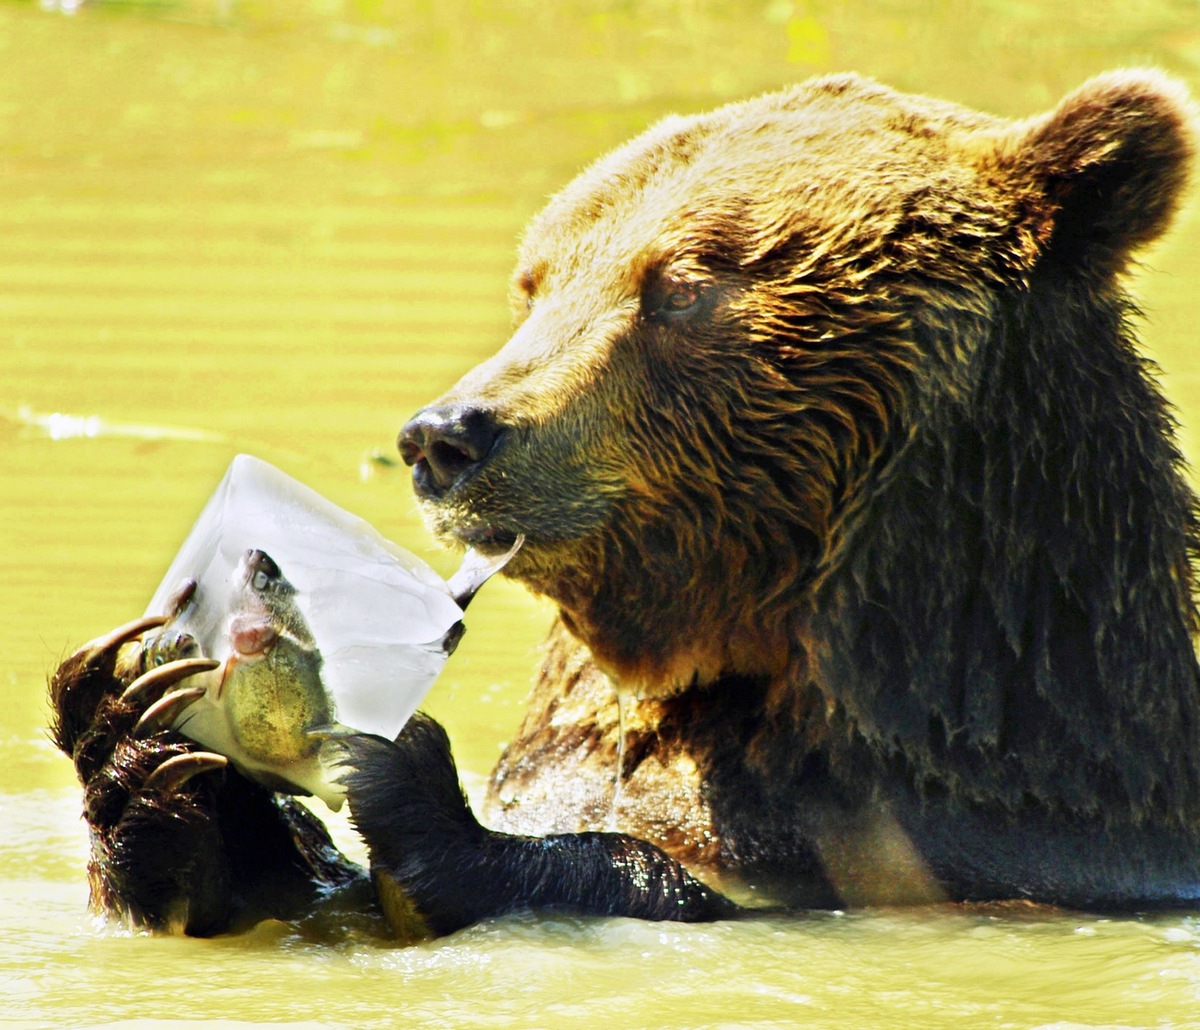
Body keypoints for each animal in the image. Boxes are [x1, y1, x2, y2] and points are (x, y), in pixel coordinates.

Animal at [51, 70, 1200, 941]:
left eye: (682, 280)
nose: (444, 436)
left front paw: (411, 779)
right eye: (537, 281)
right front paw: (139, 742)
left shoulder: (978, 842)